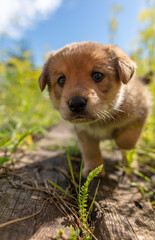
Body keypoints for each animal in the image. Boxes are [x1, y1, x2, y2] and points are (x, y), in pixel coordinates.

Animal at [38, 41, 150, 177]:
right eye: (61, 80)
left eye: (98, 76)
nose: (76, 103)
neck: (102, 119)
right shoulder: (83, 132)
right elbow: (90, 151)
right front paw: (93, 169)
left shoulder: (141, 112)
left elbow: (126, 141)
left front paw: (123, 150)